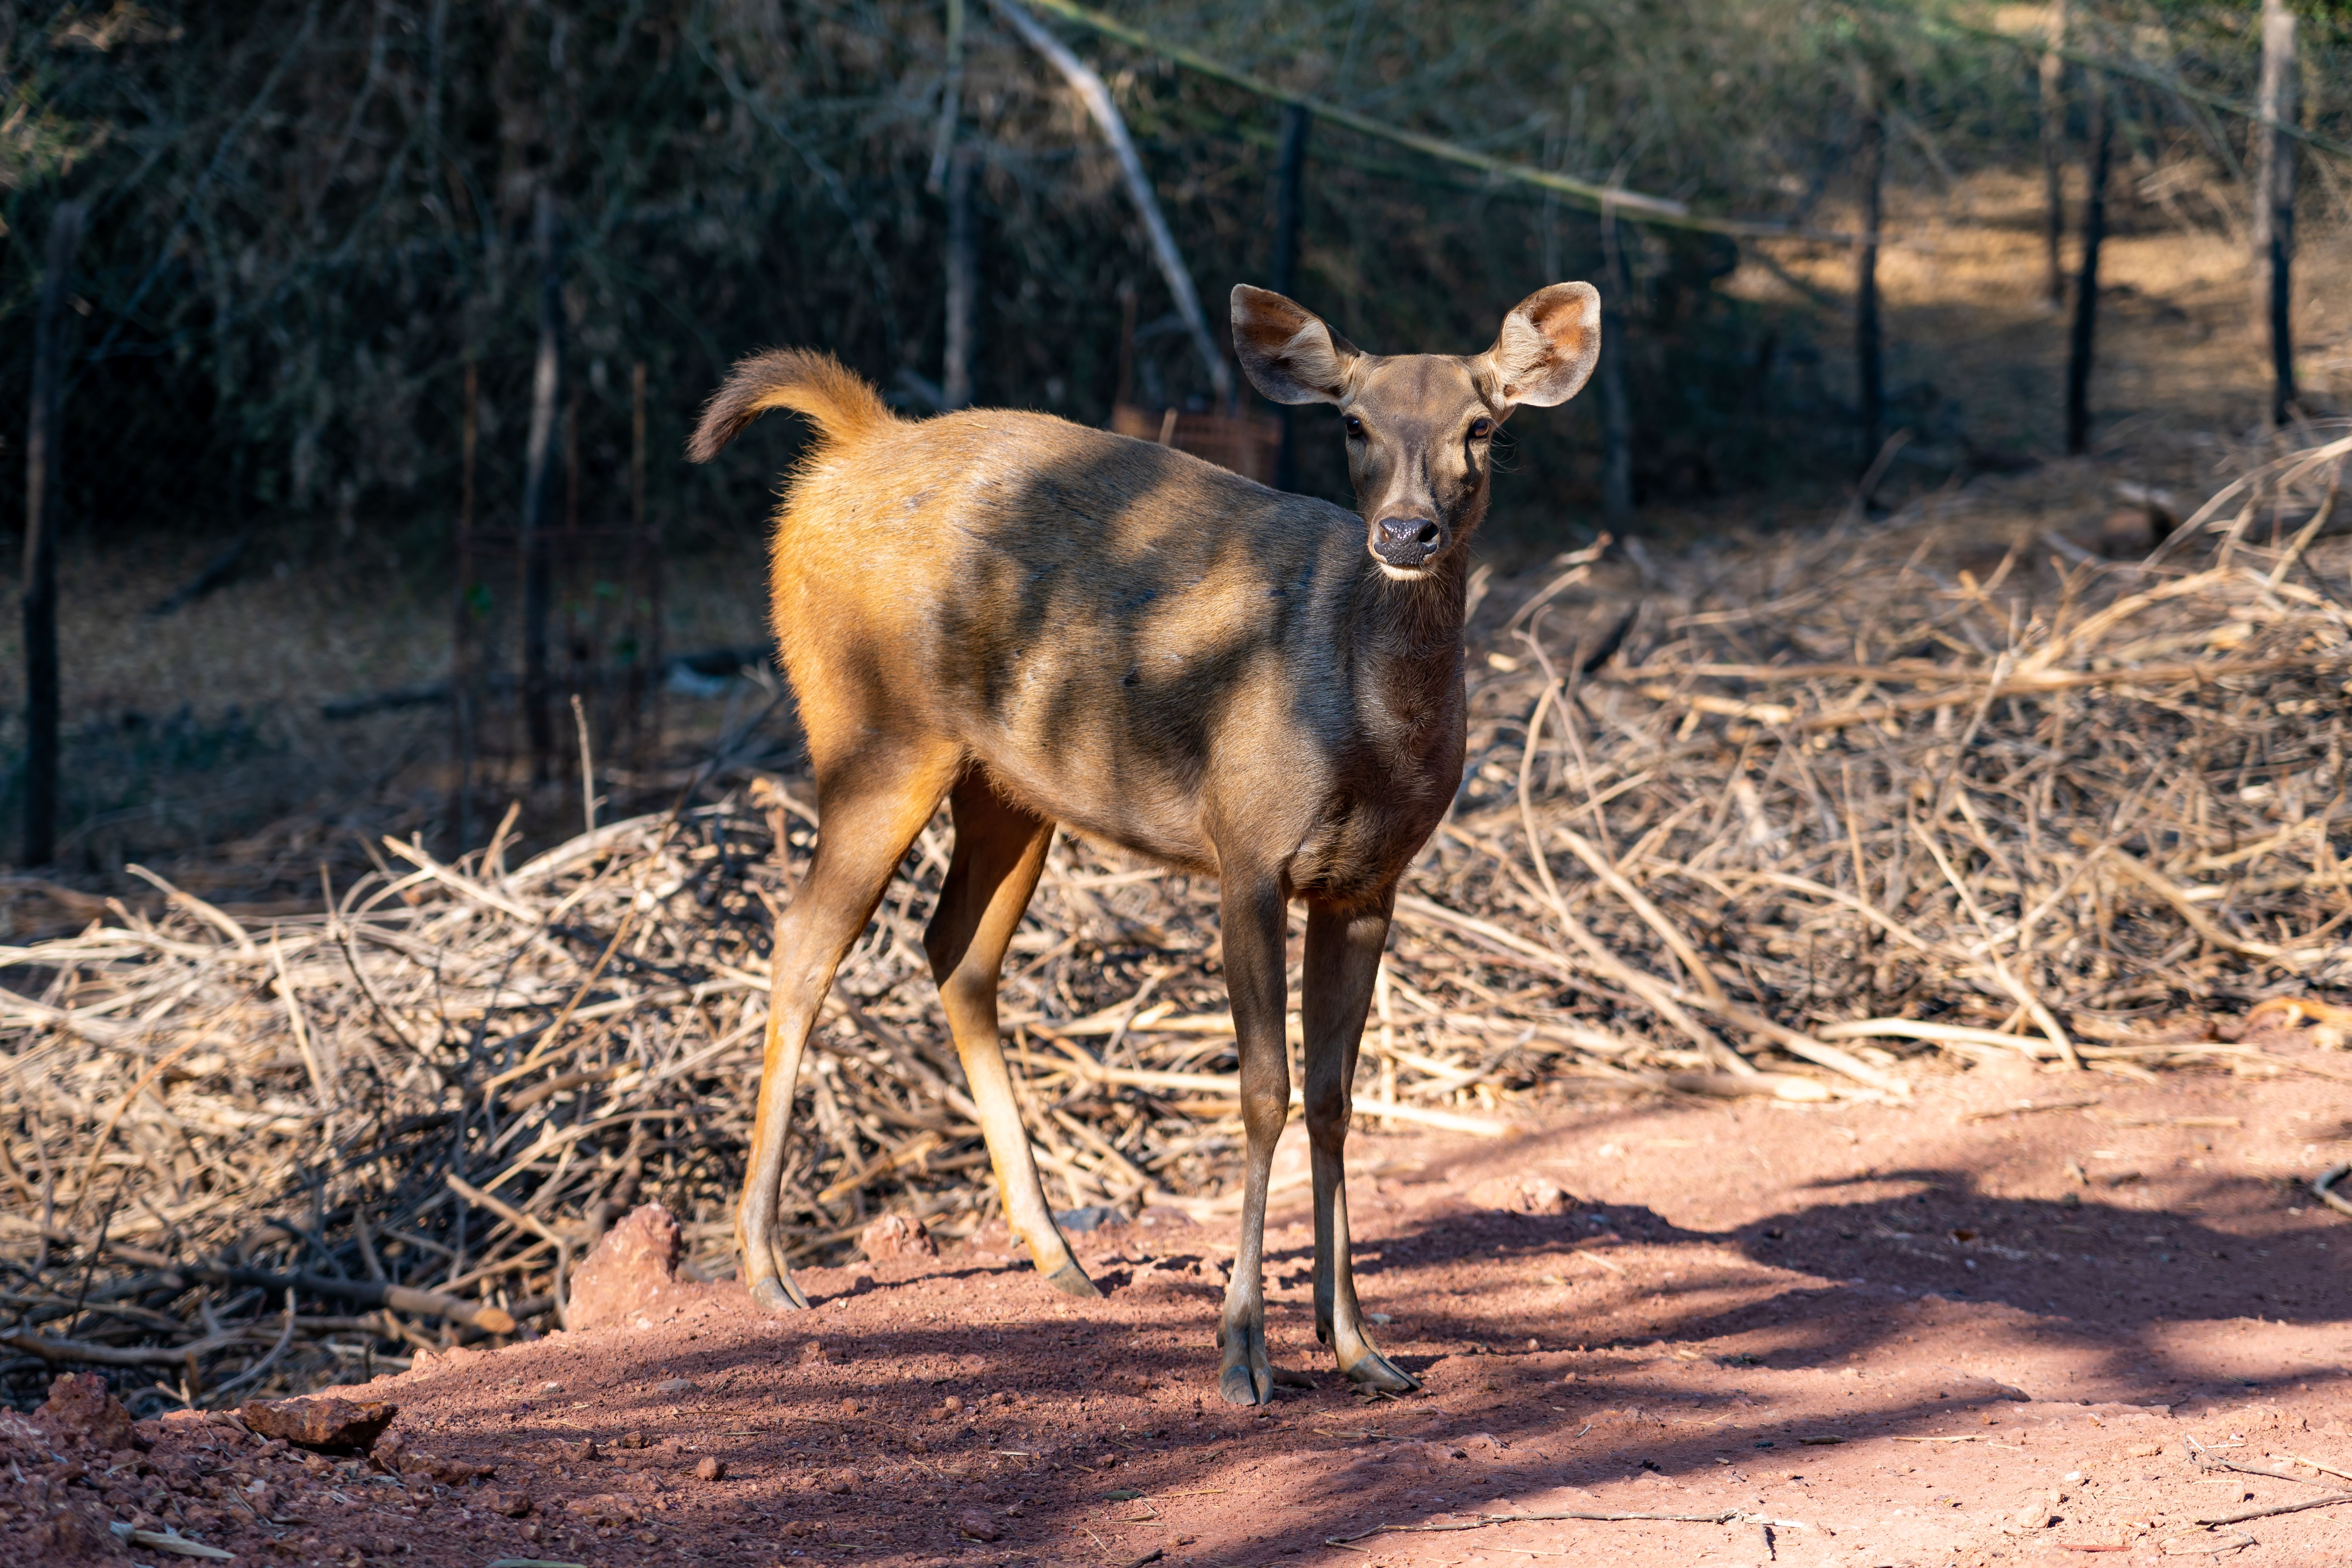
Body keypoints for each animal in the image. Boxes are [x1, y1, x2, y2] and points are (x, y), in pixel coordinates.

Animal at [686, 280, 1601, 1405]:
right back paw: (768, 1268)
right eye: (1353, 423)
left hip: (1010, 787)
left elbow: (1336, 1097)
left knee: (957, 952)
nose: (1405, 529)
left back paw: (1059, 1256)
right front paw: (1243, 1351)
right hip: (871, 731)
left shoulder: (1368, 882)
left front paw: (1357, 1342)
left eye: (1481, 426)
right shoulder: (1246, 848)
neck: (1370, 725)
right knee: (804, 943)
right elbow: (1265, 1090)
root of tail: (851, 445)